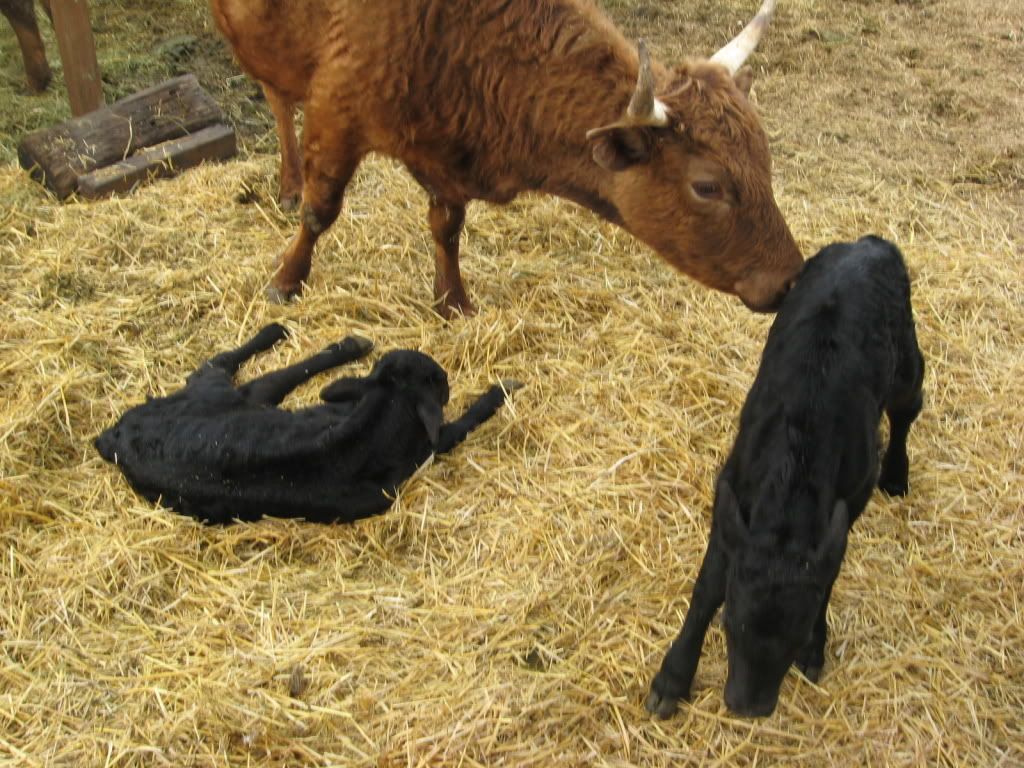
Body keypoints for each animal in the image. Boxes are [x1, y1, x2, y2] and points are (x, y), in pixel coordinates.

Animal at [95, 323, 522, 524]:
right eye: (439, 378)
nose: (447, 380)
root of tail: (114, 435)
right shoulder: (431, 445)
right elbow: (466, 420)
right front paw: (502, 388)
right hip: (228, 394)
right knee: (224, 362)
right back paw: (293, 334)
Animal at [209, 0, 803, 317]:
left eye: (765, 160)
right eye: (708, 186)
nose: (790, 280)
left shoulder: (444, 154)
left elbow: (447, 227)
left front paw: (453, 302)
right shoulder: (337, 111)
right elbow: (321, 211)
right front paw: (287, 280)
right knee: (277, 99)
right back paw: (288, 184)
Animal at [644, 236, 926, 718]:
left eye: (796, 634)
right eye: (730, 625)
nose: (747, 706)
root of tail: (870, 243)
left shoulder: (849, 500)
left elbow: (827, 577)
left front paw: (815, 649)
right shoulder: (734, 496)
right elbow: (708, 584)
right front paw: (672, 680)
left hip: (907, 359)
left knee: (909, 405)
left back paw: (896, 473)